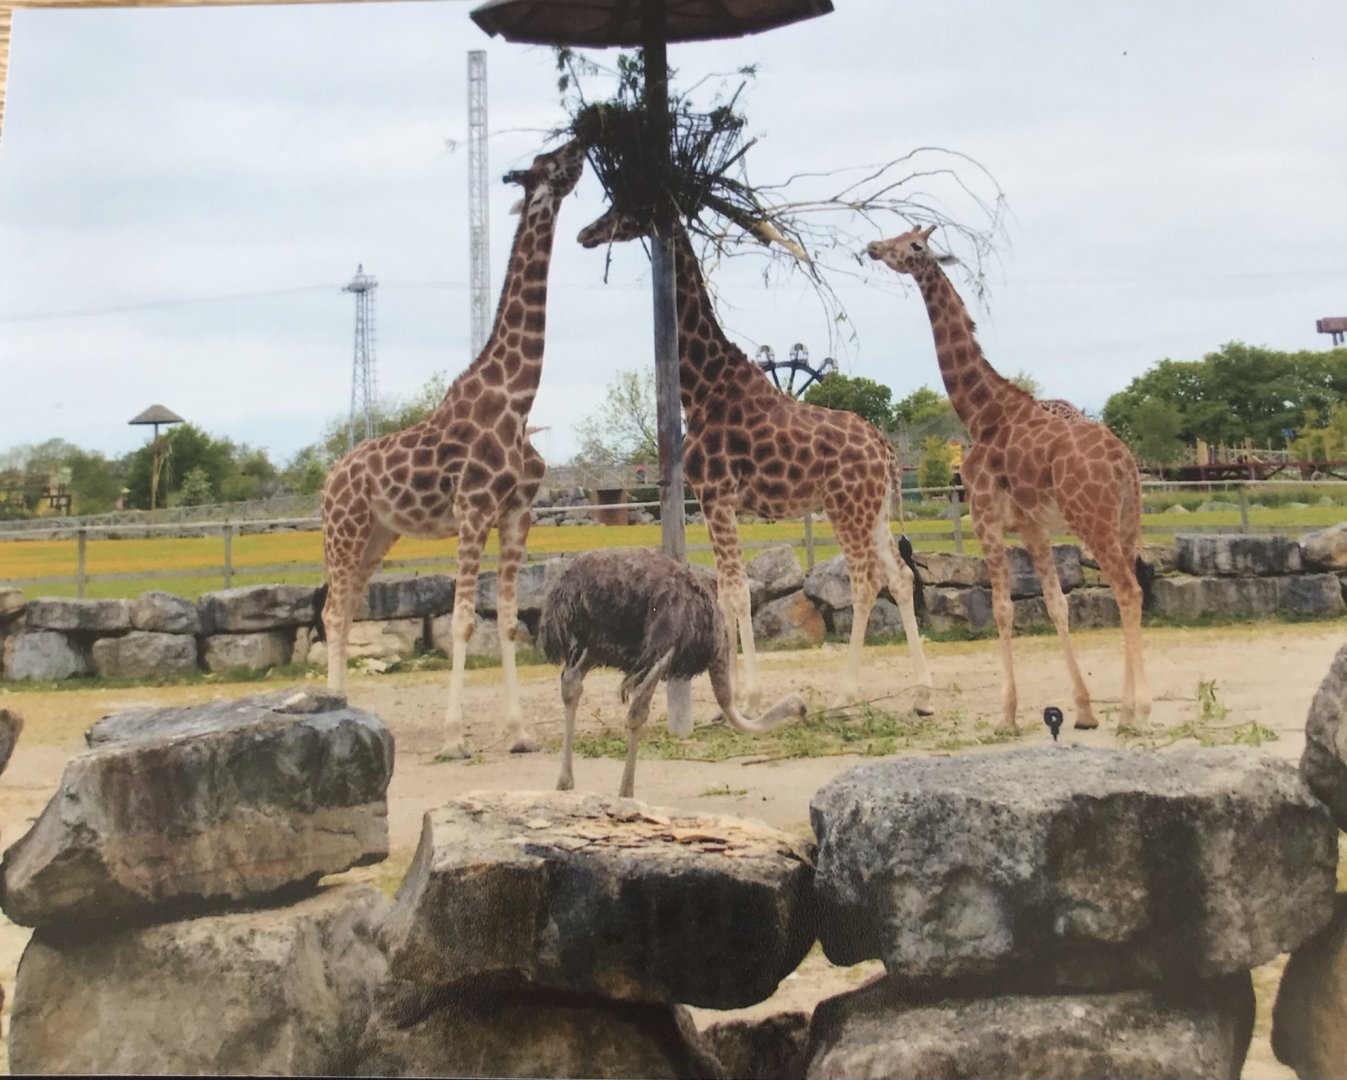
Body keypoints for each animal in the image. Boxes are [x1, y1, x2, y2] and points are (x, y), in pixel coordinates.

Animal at [319, 138, 587, 759]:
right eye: (550, 162)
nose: (583, 145)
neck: (517, 401)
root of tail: (329, 479)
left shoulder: (516, 512)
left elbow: (508, 621)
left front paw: (518, 734)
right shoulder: (472, 510)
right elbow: (464, 621)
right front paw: (452, 738)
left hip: (379, 535)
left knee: (345, 609)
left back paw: (344, 702)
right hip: (344, 529)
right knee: (332, 609)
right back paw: (334, 700)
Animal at [578, 207, 934, 714]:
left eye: (626, 208)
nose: (586, 233)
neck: (702, 388)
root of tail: (885, 448)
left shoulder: (715, 495)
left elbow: (736, 593)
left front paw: (746, 697)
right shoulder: (717, 502)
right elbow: (727, 593)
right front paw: (726, 696)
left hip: (846, 508)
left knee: (866, 582)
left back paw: (845, 691)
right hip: (875, 511)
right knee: (901, 577)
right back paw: (923, 693)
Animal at [867, 225, 1150, 732]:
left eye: (914, 244)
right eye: (898, 236)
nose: (874, 248)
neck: (982, 413)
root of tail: (1124, 462)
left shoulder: (985, 517)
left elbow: (1001, 609)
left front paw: (1006, 714)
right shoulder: (1033, 528)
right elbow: (1057, 604)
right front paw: (1083, 711)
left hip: (1092, 520)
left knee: (1128, 590)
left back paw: (1137, 712)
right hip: (1126, 521)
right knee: (1127, 591)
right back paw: (1127, 706)